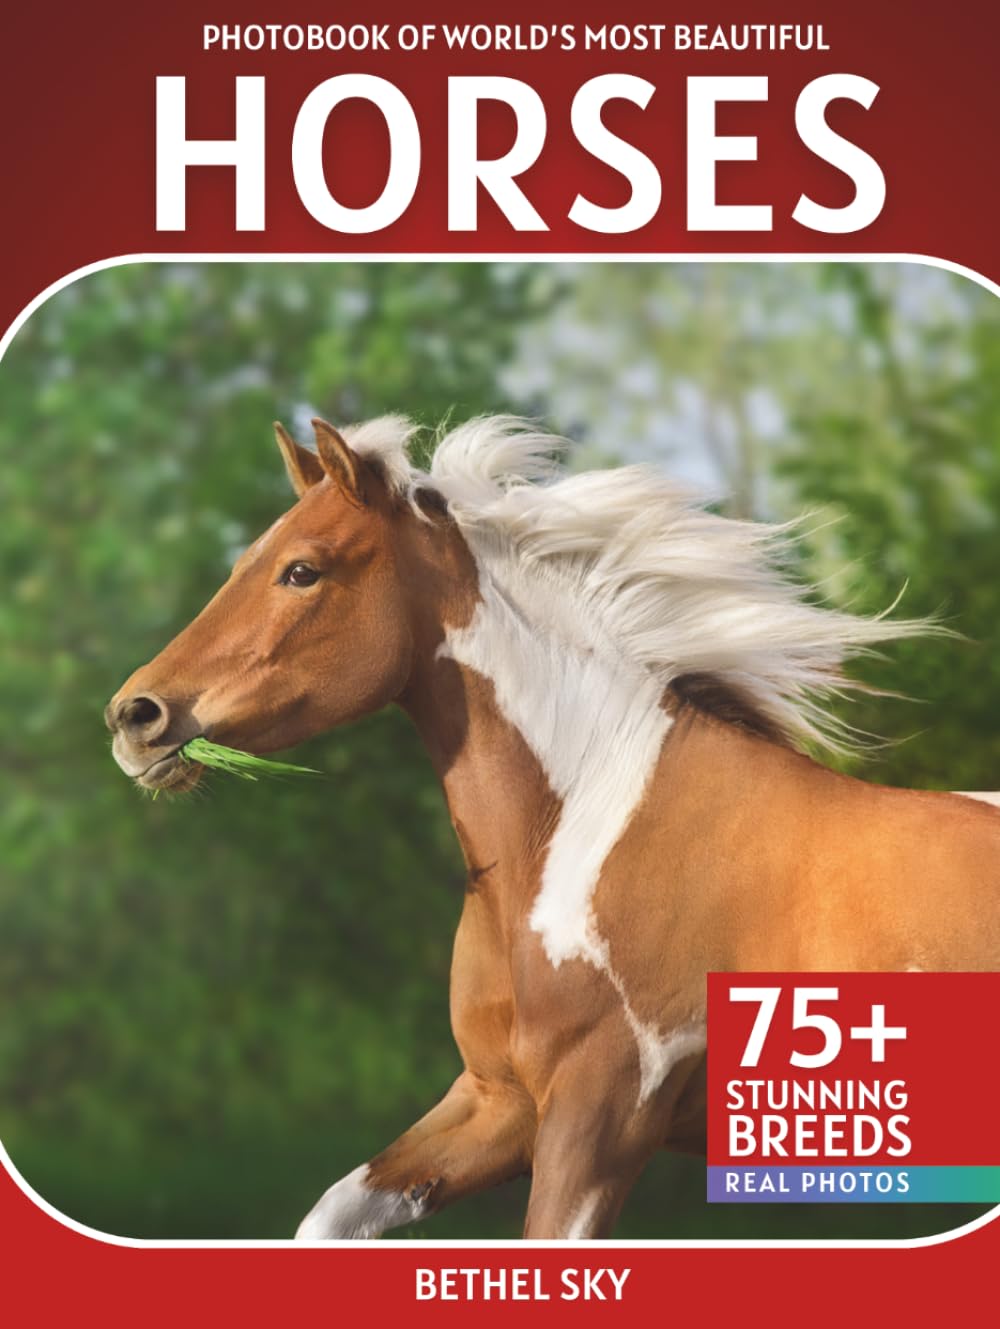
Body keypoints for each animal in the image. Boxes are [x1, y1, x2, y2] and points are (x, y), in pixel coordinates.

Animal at [106, 414, 1000, 1240]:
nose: (134, 717)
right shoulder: (497, 1100)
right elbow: (330, 1216)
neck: (578, 840)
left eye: (302, 570)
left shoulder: (602, 1115)